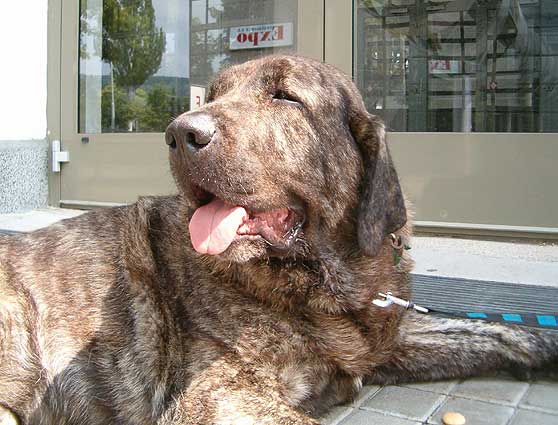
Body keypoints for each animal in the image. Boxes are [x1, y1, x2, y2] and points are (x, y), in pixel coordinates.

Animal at [1, 54, 558, 422]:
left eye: (285, 96)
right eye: (214, 96)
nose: (179, 132)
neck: (327, 291)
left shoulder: (386, 341)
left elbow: (491, 331)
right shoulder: (219, 396)